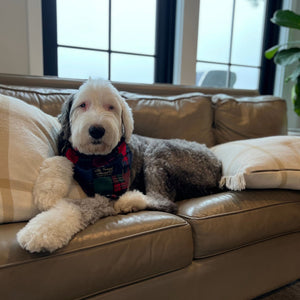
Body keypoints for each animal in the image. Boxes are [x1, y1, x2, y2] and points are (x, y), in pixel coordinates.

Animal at [17, 78, 223, 252]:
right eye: (82, 105)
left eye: (111, 107)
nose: (97, 130)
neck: (93, 159)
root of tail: (218, 167)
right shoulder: (68, 153)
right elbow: (59, 160)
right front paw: (47, 192)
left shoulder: (107, 196)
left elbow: (78, 206)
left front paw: (41, 232)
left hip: (158, 151)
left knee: (164, 201)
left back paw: (129, 201)